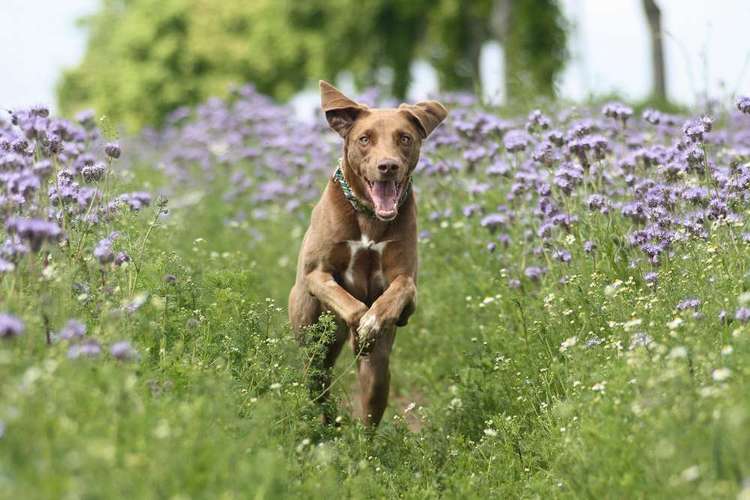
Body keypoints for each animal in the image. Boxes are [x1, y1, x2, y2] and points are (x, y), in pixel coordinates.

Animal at [290, 81, 446, 426]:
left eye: (405, 138)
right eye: (365, 139)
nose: (388, 166)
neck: (369, 219)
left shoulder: (408, 285)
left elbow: (399, 291)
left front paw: (373, 321)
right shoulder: (316, 274)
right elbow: (348, 301)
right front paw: (363, 321)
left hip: (378, 376)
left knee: (368, 411)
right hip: (310, 341)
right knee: (315, 380)